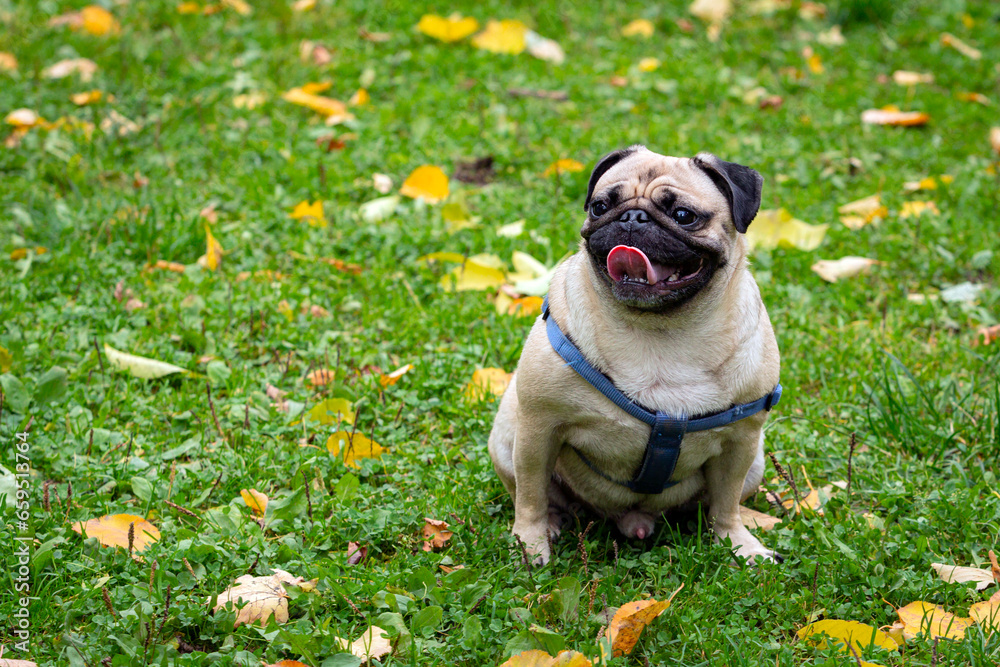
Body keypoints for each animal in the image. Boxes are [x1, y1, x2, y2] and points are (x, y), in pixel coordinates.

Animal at [490, 145, 780, 564]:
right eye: (599, 207)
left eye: (683, 216)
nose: (632, 216)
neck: (659, 332)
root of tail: (634, 520)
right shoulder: (538, 429)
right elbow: (530, 496)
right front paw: (529, 545)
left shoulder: (740, 442)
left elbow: (725, 504)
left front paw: (738, 543)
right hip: (506, 436)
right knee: (536, 495)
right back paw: (552, 523)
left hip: (756, 458)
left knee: (718, 504)